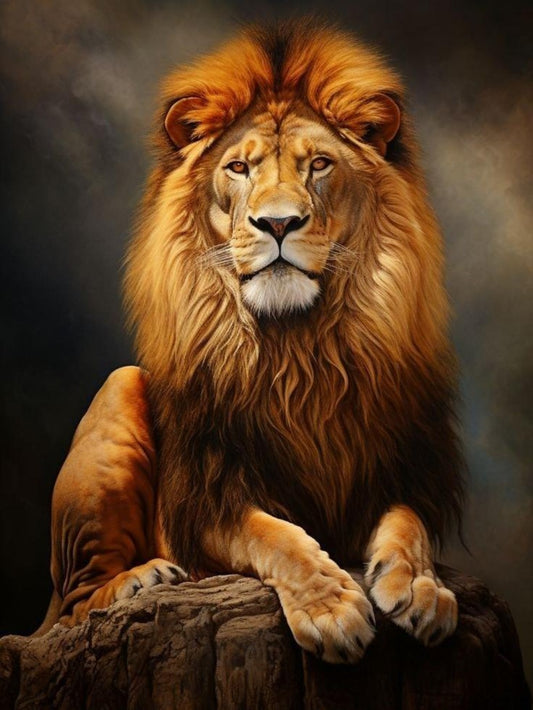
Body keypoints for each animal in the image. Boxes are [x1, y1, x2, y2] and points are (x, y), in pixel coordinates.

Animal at [39, 21, 464, 664]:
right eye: (239, 168)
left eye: (320, 164)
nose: (279, 223)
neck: (300, 352)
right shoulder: (207, 494)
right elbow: (276, 535)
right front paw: (331, 608)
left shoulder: (398, 463)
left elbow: (407, 522)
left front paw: (420, 587)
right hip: (121, 386)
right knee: (73, 601)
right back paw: (140, 580)